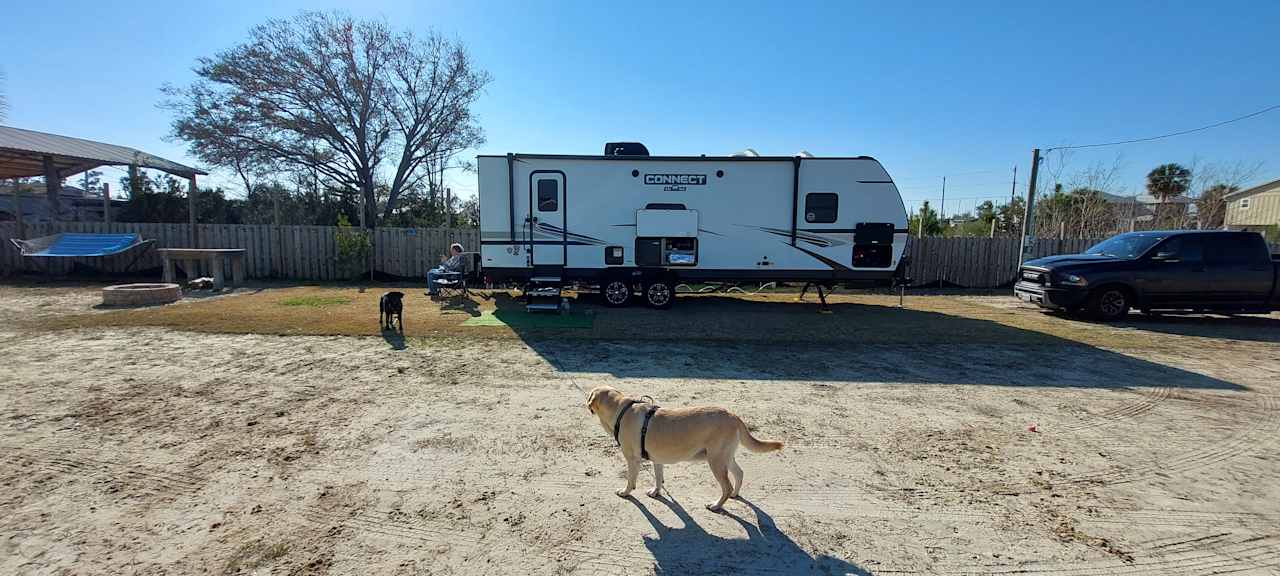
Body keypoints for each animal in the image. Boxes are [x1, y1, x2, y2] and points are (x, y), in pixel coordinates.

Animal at [586, 384, 778, 512]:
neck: (621, 409)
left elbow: (630, 480)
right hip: (725, 458)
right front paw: (656, 492)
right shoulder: (657, 459)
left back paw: (716, 505)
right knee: (739, 473)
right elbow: (658, 478)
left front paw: (625, 492)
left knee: (727, 486)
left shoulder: (633, 460)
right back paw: (735, 495)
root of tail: (734, 416)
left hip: (716, 461)